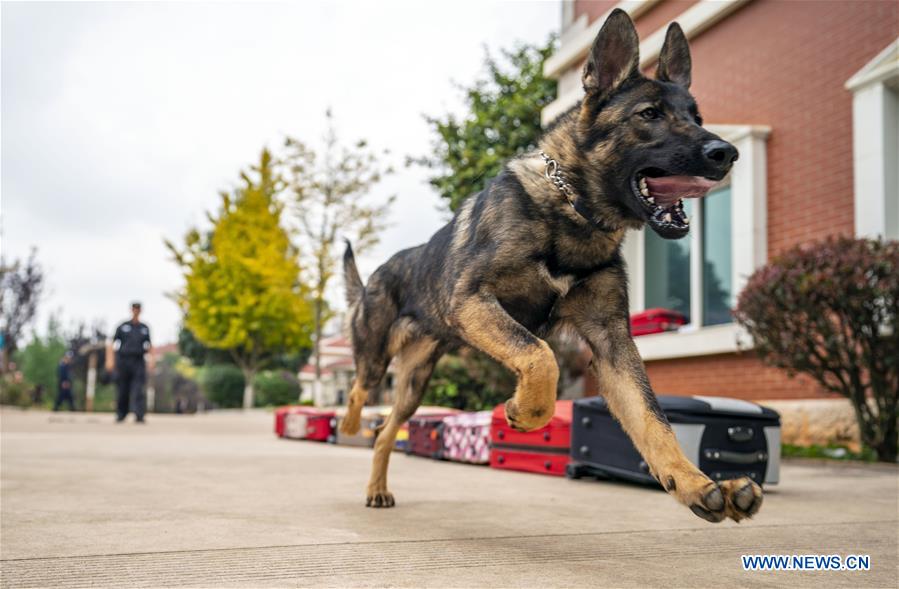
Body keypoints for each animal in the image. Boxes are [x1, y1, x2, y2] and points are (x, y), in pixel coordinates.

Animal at [342, 9, 760, 520]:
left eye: (696, 117)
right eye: (649, 115)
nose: (726, 153)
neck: (572, 210)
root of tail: (374, 279)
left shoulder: (611, 343)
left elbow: (652, 420)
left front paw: (694, 483)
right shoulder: (474, 302)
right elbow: (539, 355)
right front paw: (528, 412)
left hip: (414, 384)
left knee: (386, 430)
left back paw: (377, 486)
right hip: (375, 358)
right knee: (360, 393)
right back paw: (348, 424)